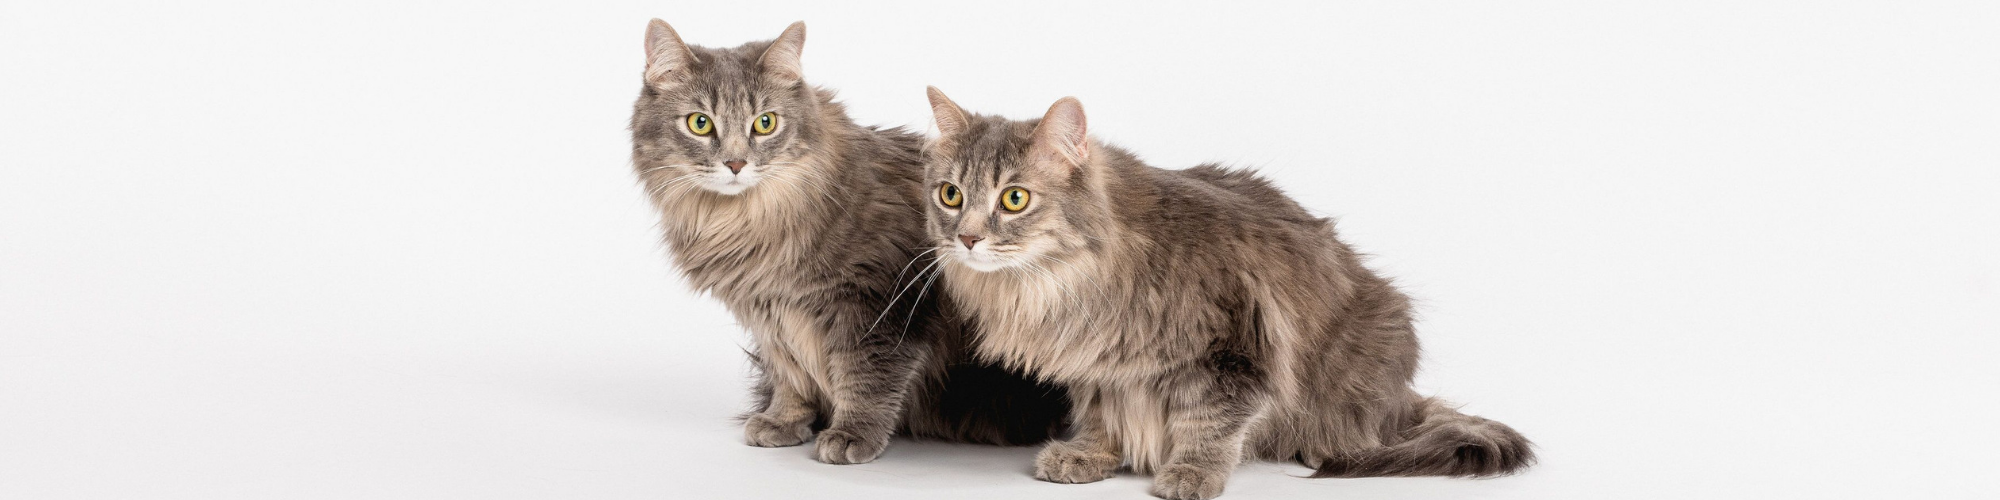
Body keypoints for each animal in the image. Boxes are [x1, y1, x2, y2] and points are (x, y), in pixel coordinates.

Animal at [628, 19, 1072, 464]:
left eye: (765, 123)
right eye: (700, 123)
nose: (736, 164)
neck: (746, 221)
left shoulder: (878, 303)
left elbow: (867, 377)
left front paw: (851, 434)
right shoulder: (769, 312)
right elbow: (789, 372)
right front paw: (784, 420)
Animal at [916, 88, 1528, 498]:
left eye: (1014, 199)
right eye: (951, 195)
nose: (967, 238)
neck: (1058, 283)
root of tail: (1406, 397)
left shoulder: (1234, 343)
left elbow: (1211, 421)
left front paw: (1192, 472)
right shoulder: (1100, 365)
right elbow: (1101, 415)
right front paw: (1092, 455)